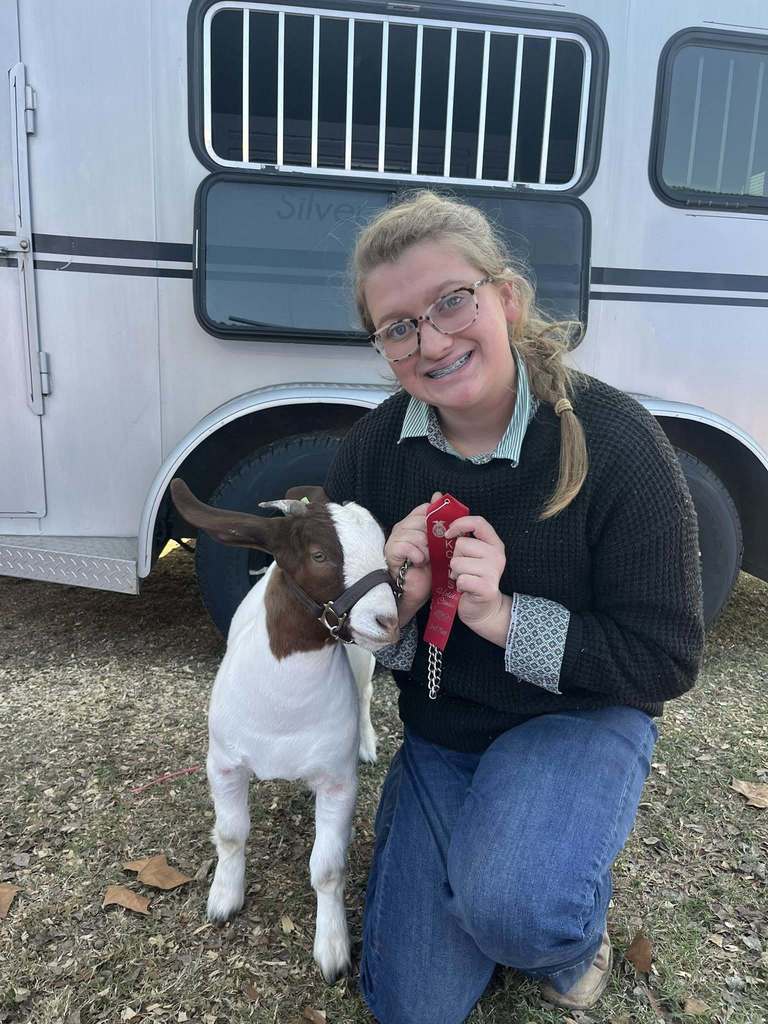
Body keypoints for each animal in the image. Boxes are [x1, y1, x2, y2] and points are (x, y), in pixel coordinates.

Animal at [170, 479, 399, 982]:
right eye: (319, 554)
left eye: (385, 549)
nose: (388, 621)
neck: (282, 711)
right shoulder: (224, 764)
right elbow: (231, 833)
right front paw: (223, 899)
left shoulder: (337, 782)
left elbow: (327, 869)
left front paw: (332, 949)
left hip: (364, 660)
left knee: (367, 692)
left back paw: (368, 743)